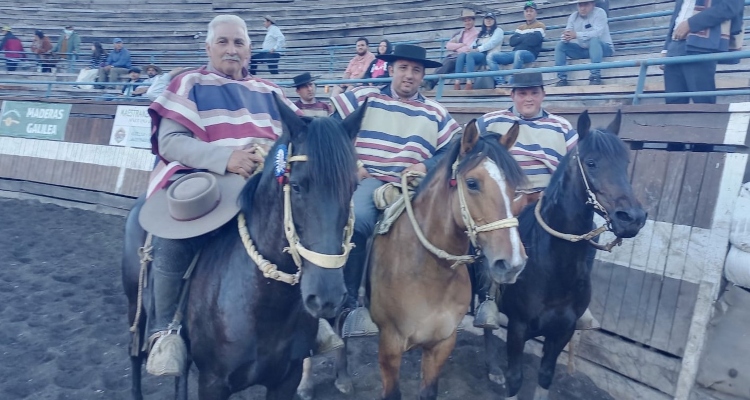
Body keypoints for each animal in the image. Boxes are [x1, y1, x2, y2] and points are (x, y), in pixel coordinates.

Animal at [122, 97, 368, 400]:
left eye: (353, 186)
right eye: (297, 186)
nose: (327, 296)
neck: (264, 306)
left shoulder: (286, 379)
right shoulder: (213, 383)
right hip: (135, 304)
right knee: (134, 352)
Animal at [332, 122, 532, 400]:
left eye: (515, 190)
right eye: (472, 183)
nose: (512, 263)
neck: (429, 272)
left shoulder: (442, 343)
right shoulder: (390, 346)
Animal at [484, 110, 648, 400]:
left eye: (625, 162)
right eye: (591, 162)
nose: (632, 218)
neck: (552, 267)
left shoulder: (563, 331)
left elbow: (546, 376)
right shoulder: (518, 327)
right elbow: (515, 379)